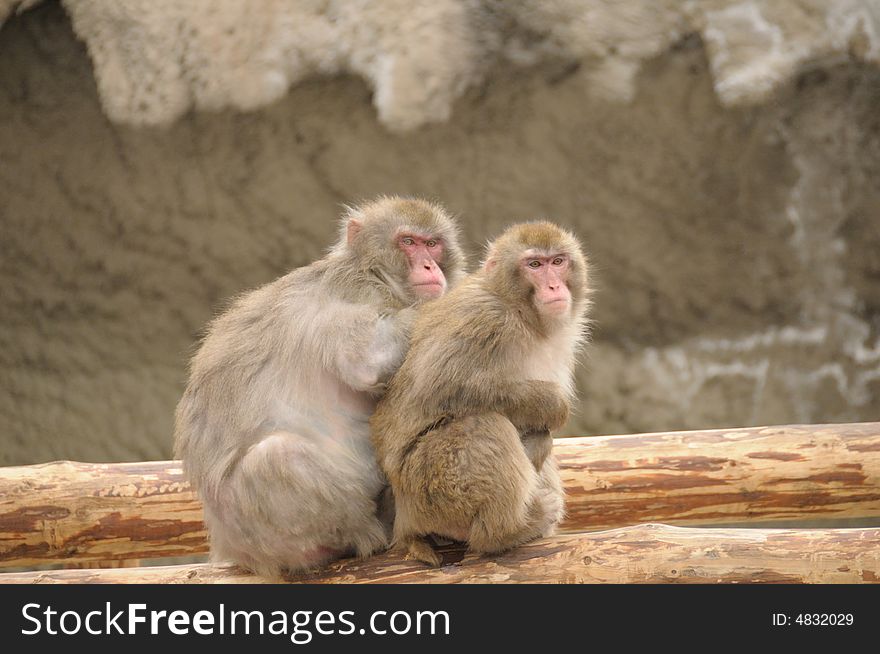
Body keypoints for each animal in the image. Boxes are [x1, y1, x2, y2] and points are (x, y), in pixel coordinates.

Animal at [168, 196, 464, 580]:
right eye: (408, 242)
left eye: (433, 243)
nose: (430, 265)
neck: (371, 269)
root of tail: (230, 547)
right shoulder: (358, 292)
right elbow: (367, 359)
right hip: (262, 535)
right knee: (276, 457)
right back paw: (371, 534)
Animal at [368, 222, 588, 568]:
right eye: (534, 265)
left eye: (558, 261)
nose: (554, 286)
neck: (522, 315)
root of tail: (404, 522)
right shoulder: (486, 319)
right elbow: (442, 387)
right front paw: (552, 405)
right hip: (431, 488)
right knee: (483, 425)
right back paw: (506, 532)